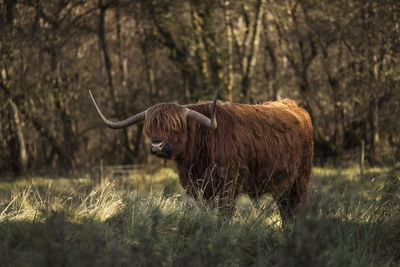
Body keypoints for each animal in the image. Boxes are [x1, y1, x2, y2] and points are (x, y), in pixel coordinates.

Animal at [90, 91, 312, 223]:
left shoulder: (229, 184)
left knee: (297, 208)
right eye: (150, 129)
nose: (157, 145)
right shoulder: (198, 188)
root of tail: (295, 107)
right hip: (282, 185)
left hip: (301, 179)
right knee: (286, 211)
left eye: (175, 127)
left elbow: (225, 214)